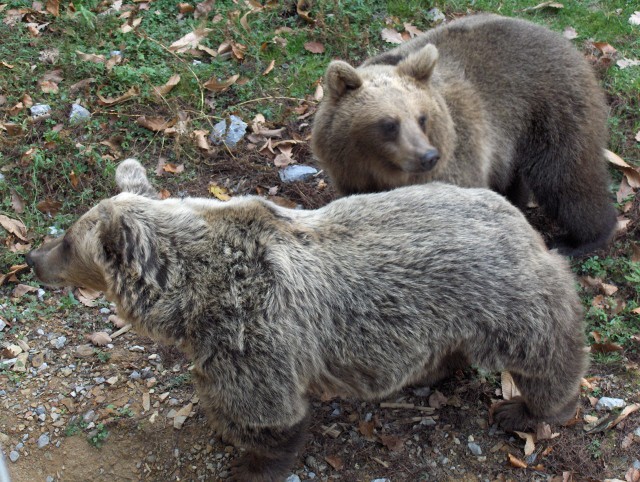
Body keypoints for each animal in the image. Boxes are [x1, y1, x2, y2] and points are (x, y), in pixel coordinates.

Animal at [312, 13, 616, 258]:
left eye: (422, 118)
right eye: (389, 124)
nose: (428, 156)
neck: (379, 169)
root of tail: (561, 39)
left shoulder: (455, 162)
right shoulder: (351, 176)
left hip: (552, 107)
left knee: (565, 177)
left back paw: (579, 239)